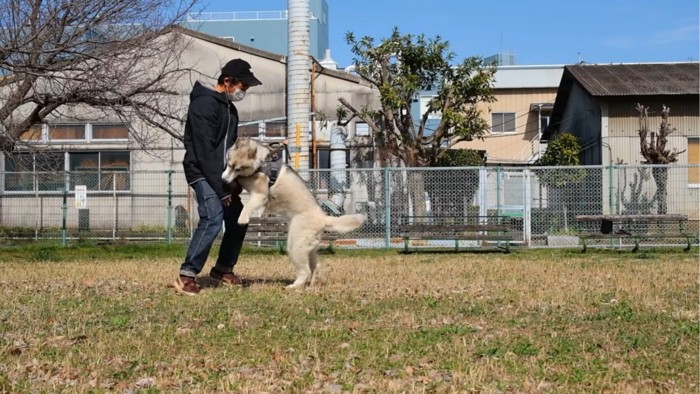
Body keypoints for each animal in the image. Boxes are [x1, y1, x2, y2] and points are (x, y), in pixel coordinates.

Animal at [223, 139, 366, 290]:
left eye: (237, 168)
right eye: (229, 164)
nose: (224, 180)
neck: (262, 163)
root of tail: (323, 218)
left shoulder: (260, 195)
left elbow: (248, 205)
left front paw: (242, 218)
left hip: (295, 245)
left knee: (305, 271)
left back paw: (294, 286)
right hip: (309, 248)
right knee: (316, 266)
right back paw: (311, 286)